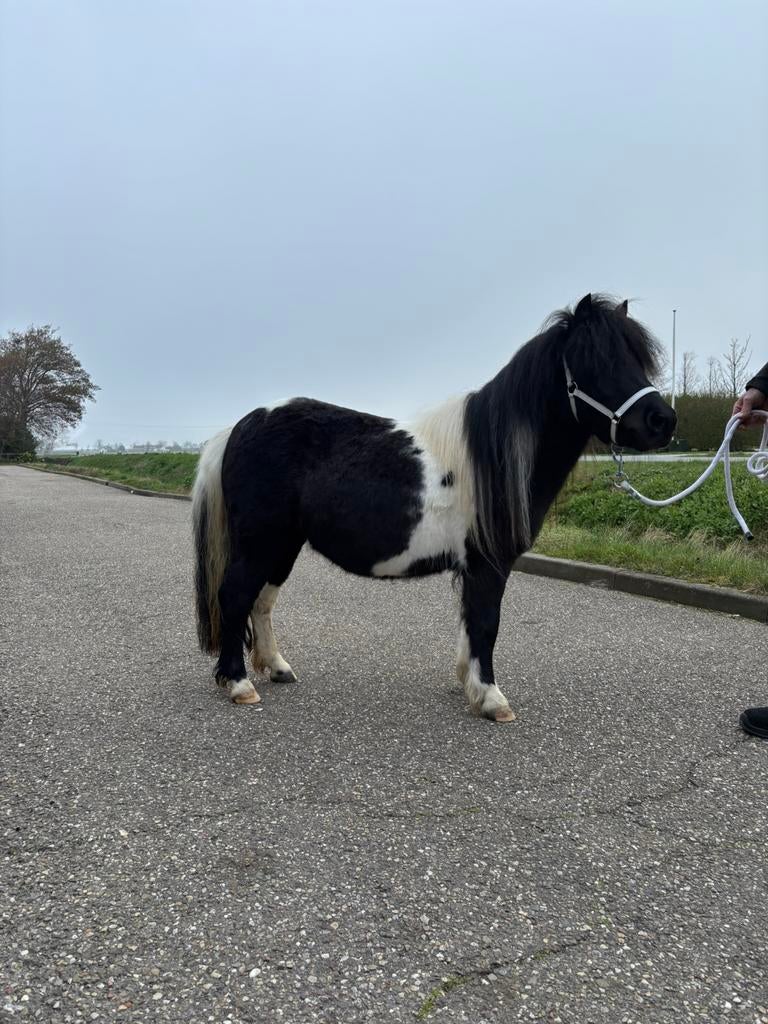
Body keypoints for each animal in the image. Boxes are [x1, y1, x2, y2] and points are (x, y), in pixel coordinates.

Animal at [192, 293, 675, 721]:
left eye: (640, 358)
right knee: (235, 596)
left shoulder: (475, 565)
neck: (492, 455)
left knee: (262, 601)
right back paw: (239, 684)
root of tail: (238, 428)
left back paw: (277, 668)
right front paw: (491, 699)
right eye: (595, 359)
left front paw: (468, 682)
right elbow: (486, 624)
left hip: (283, 544)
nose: (662, 421)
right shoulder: (489, 563)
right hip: (260, 542)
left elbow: (471, 624)